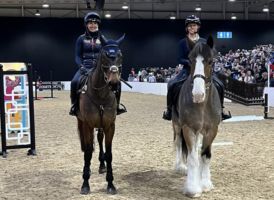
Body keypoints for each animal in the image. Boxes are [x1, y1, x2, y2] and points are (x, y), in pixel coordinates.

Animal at [76, 34, 124, 195]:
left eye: (120, 55)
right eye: (104, 56)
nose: (114, 82)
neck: (101, 94)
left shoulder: (110, 125)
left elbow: (109, 154)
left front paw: (110, 184)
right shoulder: (88, 125)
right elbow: (87, 152)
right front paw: (85, 184)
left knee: (100, 138)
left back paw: (102, 165)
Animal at [172, 35, 222, 197]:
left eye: (211, 61)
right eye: (190, 60)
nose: (198, 95)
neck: (202, 105)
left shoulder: (212, 129)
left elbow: (205, 155)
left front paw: (205, 183)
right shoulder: (188, 128)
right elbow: (193, 157)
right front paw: (193, 188)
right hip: (177, 125)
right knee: (178, 142)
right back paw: (180, 167)